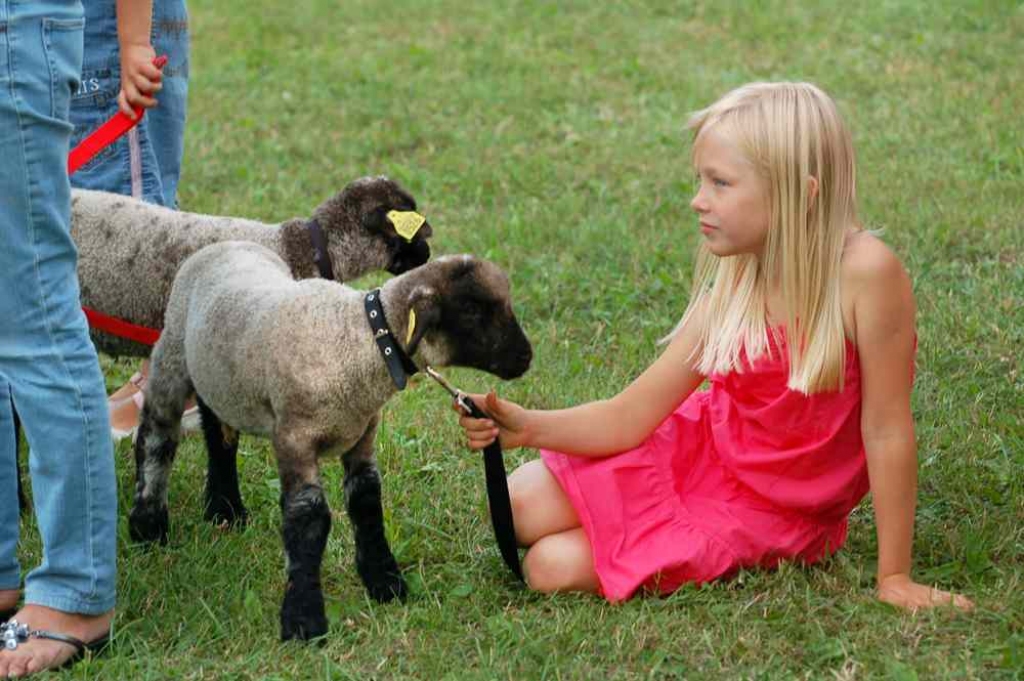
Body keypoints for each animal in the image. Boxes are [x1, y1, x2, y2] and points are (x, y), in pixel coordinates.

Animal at [125, 241, 536, 639]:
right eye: (471, 309)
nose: (526, 358)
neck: (357, 340)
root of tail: (221, 243)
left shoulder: (362, 434)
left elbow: (366, 500)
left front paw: (384, 582)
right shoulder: (294, 439)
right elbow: (308, 516)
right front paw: (303, 618)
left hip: (222, 378)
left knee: (219, 433)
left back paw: (225, 510)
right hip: (172, 355)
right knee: (157, 437)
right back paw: (148, 526)